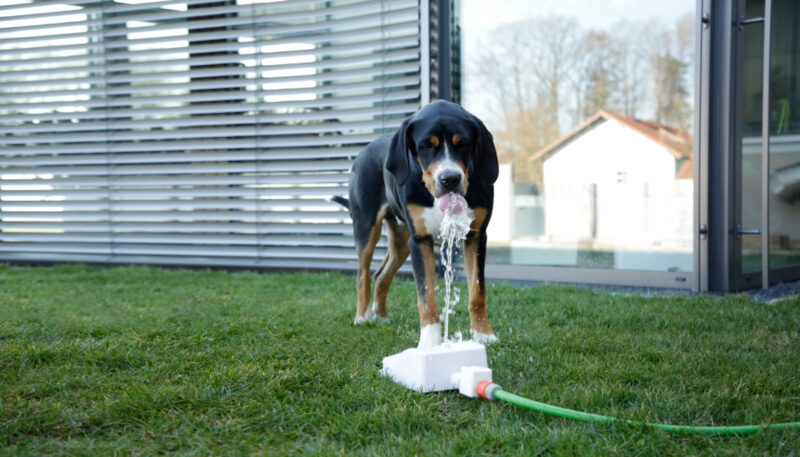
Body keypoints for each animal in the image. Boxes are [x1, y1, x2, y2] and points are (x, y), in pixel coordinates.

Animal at [330, 100, 494, 350]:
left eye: (463, 144)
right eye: (426, 146)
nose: (450, 179)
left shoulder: (475, 236)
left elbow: (477, 292)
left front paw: (483, 334)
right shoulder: (420, 241)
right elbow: (425, 298)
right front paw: (429, 342)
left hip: (401, 241)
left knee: (381, 275)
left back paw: (381, 317)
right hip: (367, 228)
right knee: (363, 275)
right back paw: (362, 317)